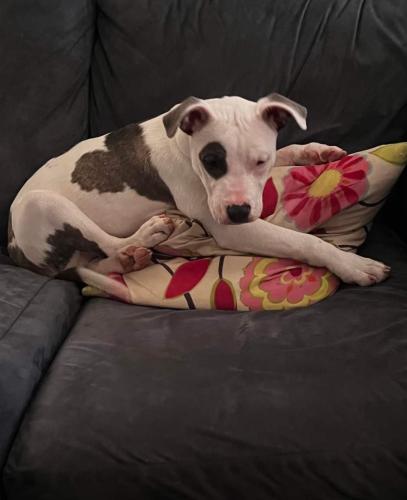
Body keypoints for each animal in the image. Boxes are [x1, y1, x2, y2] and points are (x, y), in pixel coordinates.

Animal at [8, 93, 390, 286]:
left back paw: (129, 260)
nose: (238, 211)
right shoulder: (232, 229)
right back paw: (148, 234)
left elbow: (286, 151)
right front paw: (353, 265)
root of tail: (12, 243)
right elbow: (305, 241)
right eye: (211, 161)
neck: (185, 143)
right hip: (40, 203)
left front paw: (314, 152)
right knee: (108, 242)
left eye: (260, 161)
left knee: (96, 260)